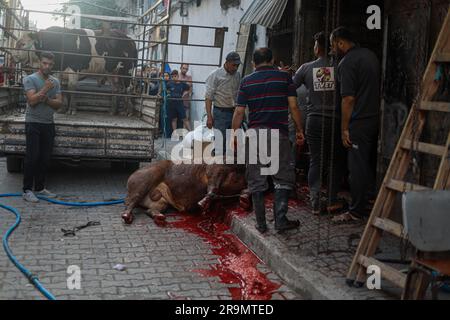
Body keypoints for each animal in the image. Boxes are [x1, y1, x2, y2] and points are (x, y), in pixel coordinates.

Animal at [121, 160, 251, 225]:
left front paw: (244, 199)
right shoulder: (214, 170)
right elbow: (213, 185)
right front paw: (202, 204)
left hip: (161, 202)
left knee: (150, 210)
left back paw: (160, 218)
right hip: (146, 179)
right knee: (130, 200)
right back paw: (127, 216)